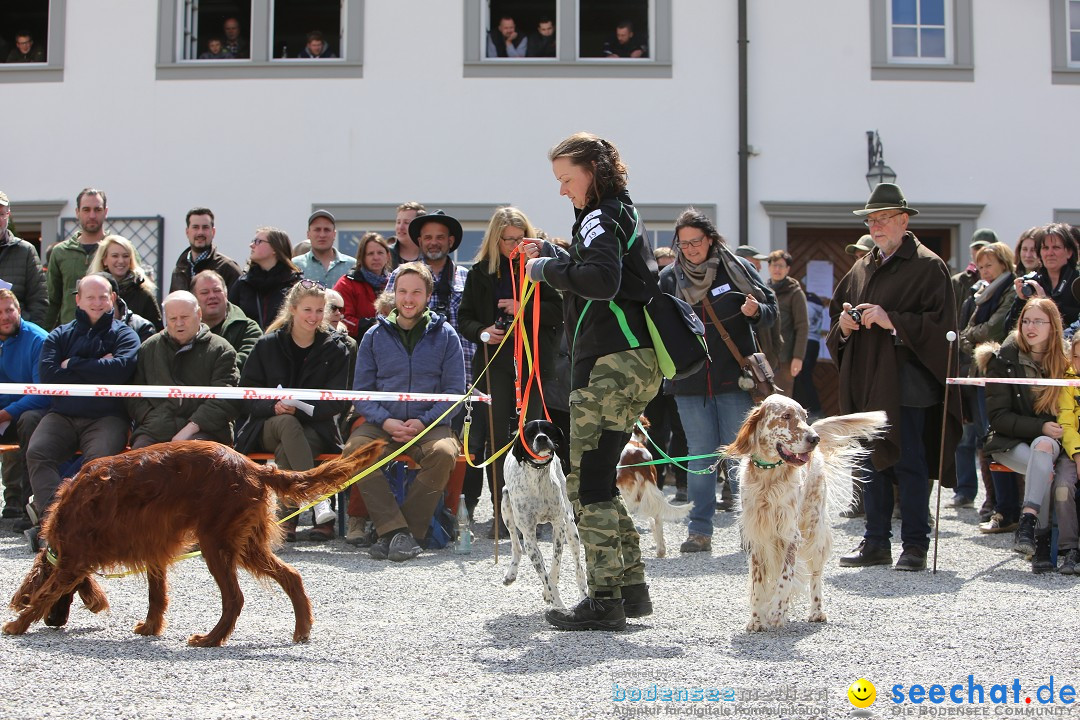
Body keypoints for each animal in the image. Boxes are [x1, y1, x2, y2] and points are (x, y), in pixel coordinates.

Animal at [2, 440, 384, 647]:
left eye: (64, 601)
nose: (54, 624)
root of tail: (253, 467)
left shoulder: (74, 560)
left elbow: (43, 592)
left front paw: (19, 624)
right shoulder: (153, 550)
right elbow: (157, 596)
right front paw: (150, 628)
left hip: (216, 543)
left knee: (235, 598)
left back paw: (211, 639)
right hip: (245, 544)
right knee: (291, 576)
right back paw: (302, 630)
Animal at [498, 418, 587, 613]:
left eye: (548, 430)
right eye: (530, 433)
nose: (542, 438)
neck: (537, 478)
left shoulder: (559, 526)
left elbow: (555, 565)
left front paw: (551, 594)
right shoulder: (530, 537)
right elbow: (545, 576)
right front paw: (558, 603)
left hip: (571, 529)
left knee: (579, 568)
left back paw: (584, 595)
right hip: (506, 508)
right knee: (516, 546)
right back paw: (511, 573)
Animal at [725, 397, 885, 634]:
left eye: (805, 416)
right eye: (786, 416)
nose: (814, 438)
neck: (769, 479)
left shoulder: (791, 534)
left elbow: (785, 577)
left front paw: (776, 611)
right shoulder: (757, 536)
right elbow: (757, 583)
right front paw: (756, 619)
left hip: (815, 532)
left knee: (816, 577)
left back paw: (816, 612)